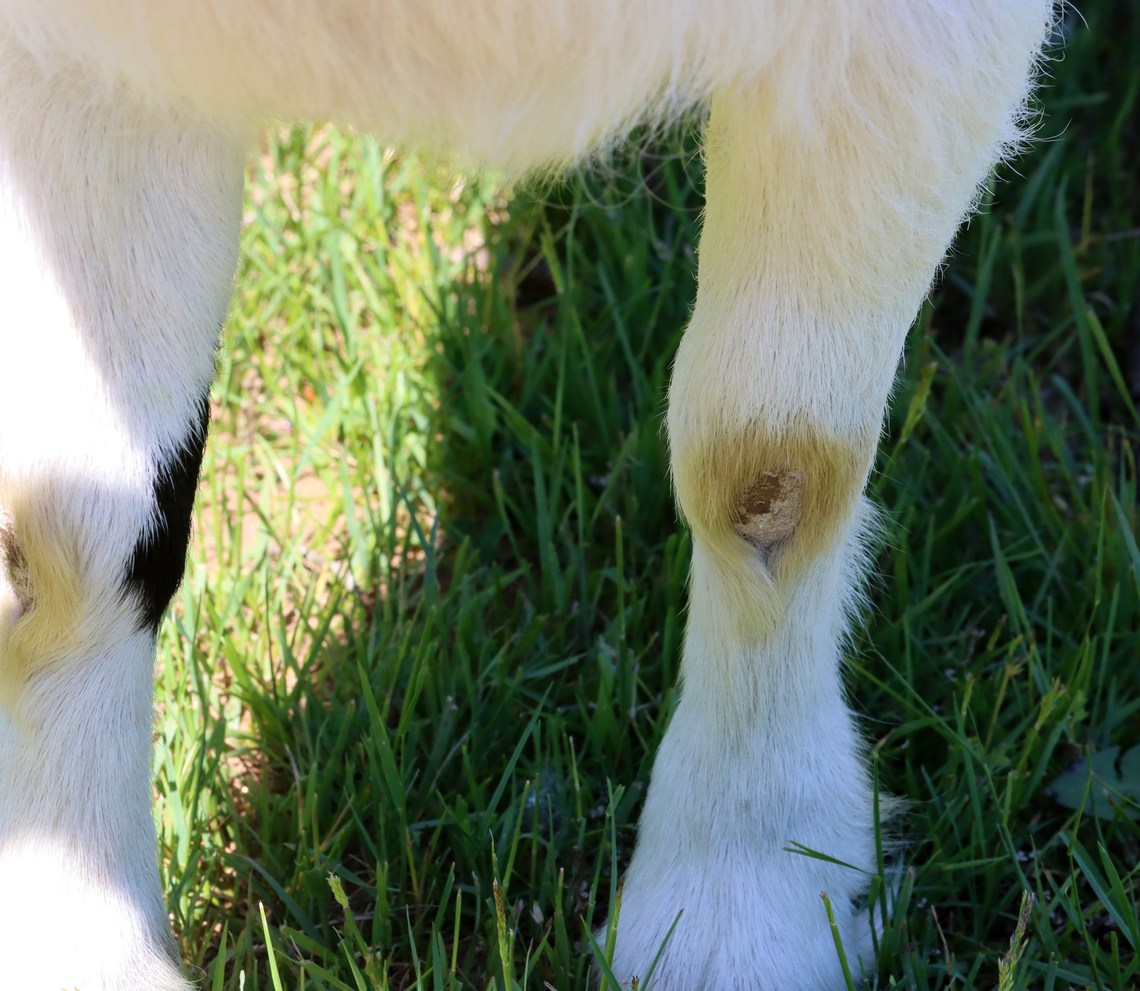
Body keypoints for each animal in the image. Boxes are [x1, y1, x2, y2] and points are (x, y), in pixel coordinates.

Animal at [0, 1, 1055, 988]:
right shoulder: (100, 54)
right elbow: (68, 526)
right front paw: (78, 943)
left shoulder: (909, 44)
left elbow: (772, 471)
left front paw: (748, 888)